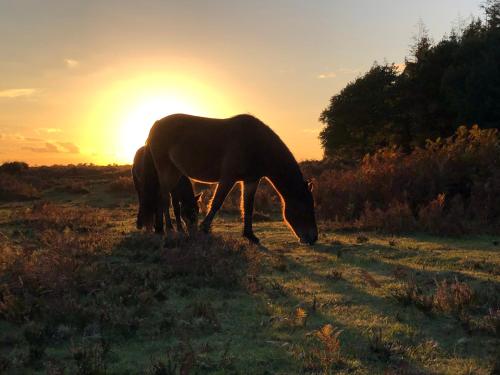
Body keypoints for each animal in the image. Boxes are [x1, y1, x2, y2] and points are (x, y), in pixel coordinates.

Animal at [139, 113, 318, 245]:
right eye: (305, 208)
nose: (313, 238)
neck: (256, 144)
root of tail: (156, 124)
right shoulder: (228, 178)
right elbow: (217, 202)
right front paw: (204, 229)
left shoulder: (251, 180)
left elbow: (248, 206)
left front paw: (250, 235)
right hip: (166, 170)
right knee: (163, 198)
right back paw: (167, 229)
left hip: (174, 172)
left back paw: (166, 229)